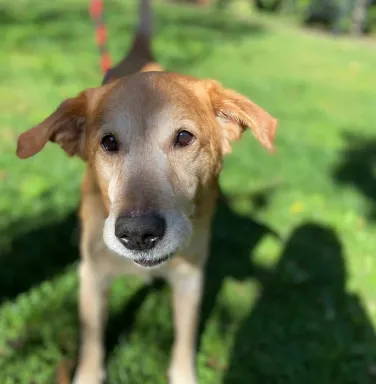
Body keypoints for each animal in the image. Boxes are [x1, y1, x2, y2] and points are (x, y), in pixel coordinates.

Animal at [16, 1, 278, 382]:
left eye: (183, 137)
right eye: (108, 142)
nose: (137, 234)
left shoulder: (190, 279)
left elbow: (185, 338)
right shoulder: (93, 277)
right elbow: (91, 339)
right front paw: (88, 374)